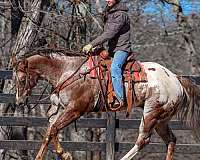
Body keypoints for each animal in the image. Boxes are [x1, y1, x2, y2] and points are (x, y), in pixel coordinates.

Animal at [12, 51, 200, 160]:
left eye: (21, 79)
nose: (19, 101)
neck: (68, 72)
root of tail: (176, 79)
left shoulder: (75, 110)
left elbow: (53, 130)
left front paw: (65, 155)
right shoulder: (60, 110)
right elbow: (50, 132)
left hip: (151, 114)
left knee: (143, 140)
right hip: (162, 120)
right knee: (171, 140)